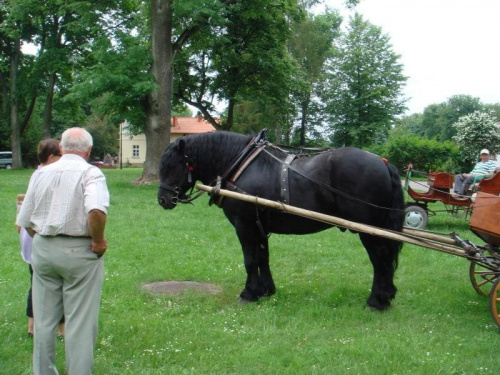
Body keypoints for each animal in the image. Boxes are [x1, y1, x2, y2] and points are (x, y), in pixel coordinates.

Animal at [158, 131, 404, 310]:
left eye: (172, 165)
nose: (162, 199)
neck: (240, 163)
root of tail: (383, 162)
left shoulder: (244, 225)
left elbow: (250, 260)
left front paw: (248, 293)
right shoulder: (260, 226)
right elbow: (262, 257)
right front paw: (266, 290)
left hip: (369, 230)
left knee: (380, 260)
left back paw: (377, 300)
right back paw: (387, 295)